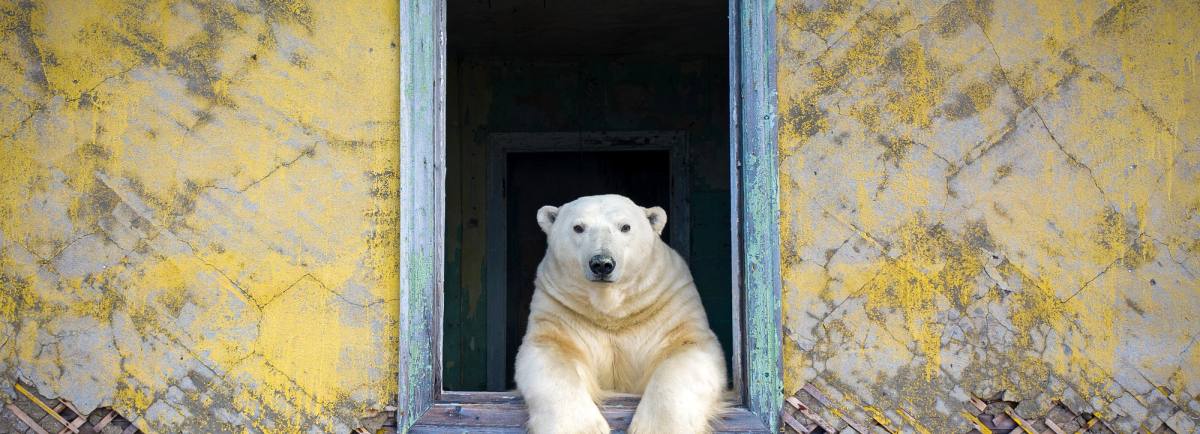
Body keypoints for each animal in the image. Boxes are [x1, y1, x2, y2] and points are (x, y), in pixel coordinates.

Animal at [514, 194, 727, 434]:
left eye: (625, 227)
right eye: (578, 227)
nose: (602, 263)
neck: (612, 311)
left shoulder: (669, 304)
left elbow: (686, 351)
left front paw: (657, 427)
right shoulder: (560, 309)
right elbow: (551, 353)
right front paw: (582, 428)